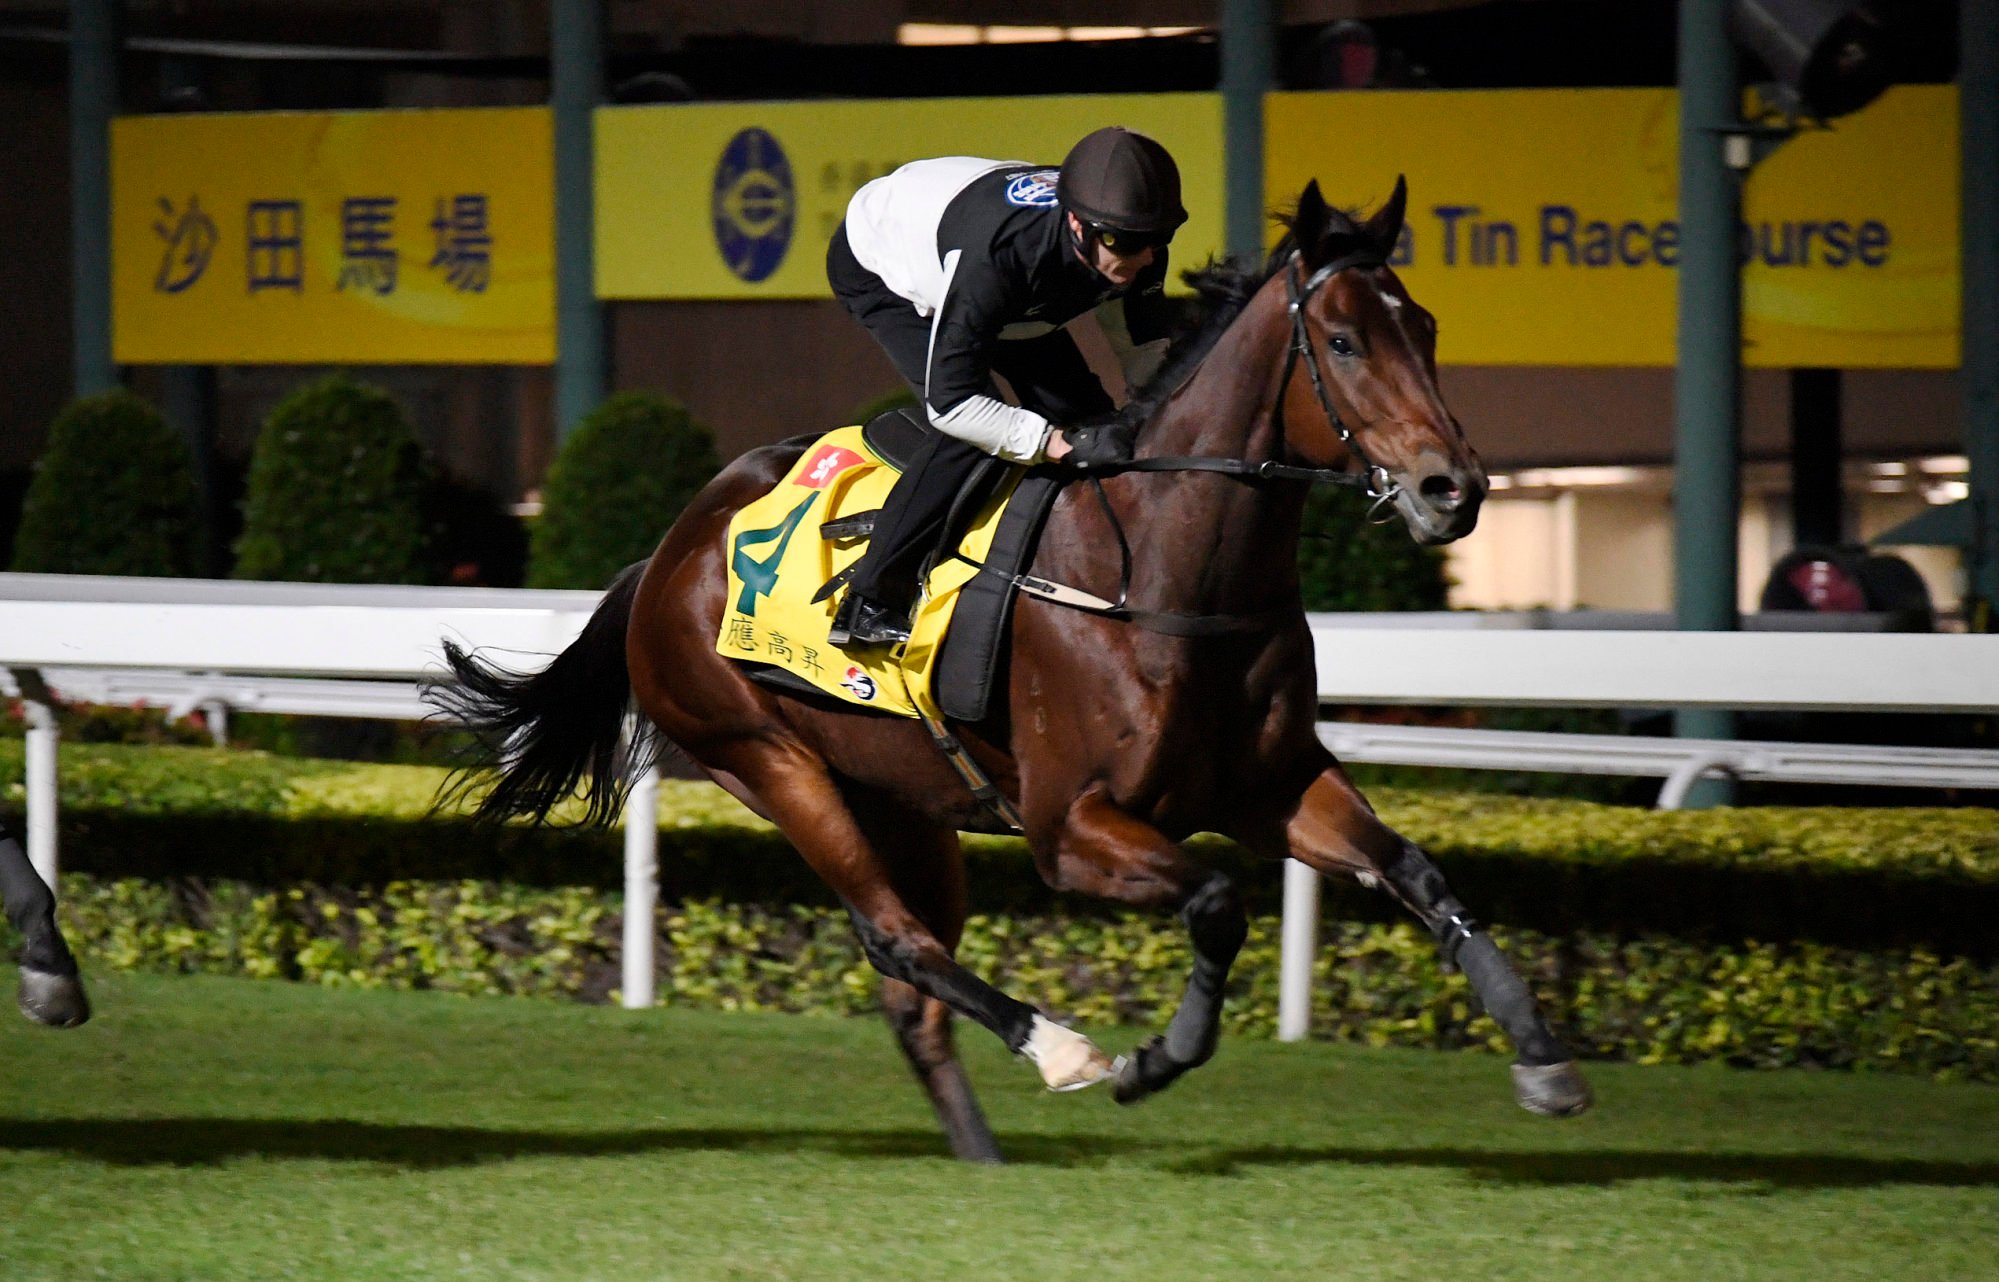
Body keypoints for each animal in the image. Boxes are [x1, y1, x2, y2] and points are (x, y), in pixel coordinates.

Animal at [437, 178, 1591, 1160]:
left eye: (1424, 327)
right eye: (1344, 340)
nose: (1452, 489)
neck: (1160, 572)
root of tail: (667, 554)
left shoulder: (1270, 783)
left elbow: (1414, 870)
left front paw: (1543, 1059)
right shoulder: (1069, 828)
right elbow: (1219, 899)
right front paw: (1149, 1060)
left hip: (901, 799)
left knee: (911, 987)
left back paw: (983, 1156)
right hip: (765, 758)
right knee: (899, 941)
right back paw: (1059, 1049)